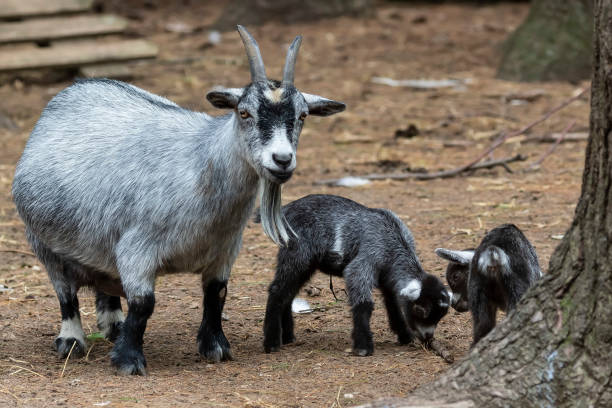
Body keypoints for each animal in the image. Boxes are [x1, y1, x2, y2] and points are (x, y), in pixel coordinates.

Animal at [11, 26, 344, 376]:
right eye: (244, 112)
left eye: (303, 115)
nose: (282, 159)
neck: (202, 163)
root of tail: (75, 88)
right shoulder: (137, 249)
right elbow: (144, 304)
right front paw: (129, 360)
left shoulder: (224, 249)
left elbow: (216, 294)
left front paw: (215, 347)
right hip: (44, 244)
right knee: (66, 295)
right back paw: (72, 340)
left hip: (98, 242)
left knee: (104, 282)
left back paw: (114, 325)